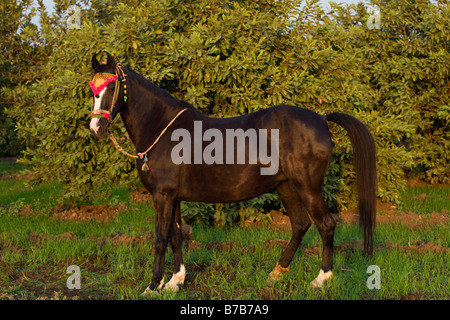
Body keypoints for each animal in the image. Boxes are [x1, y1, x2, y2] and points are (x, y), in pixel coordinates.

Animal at [88, 52, 376, 296]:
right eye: (92, 89)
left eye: (112, 88)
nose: (96, 128)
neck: (163, 129)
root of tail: (321, 119)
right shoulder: (173, 197)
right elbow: (176, 236)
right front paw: (175, 282)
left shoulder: (161, 196)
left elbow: (160, 239)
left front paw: (152, 286)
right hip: (286, 186)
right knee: (300, 225)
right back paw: (276, 273)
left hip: (308, 188)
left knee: (325, 225)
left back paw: (321, 279)